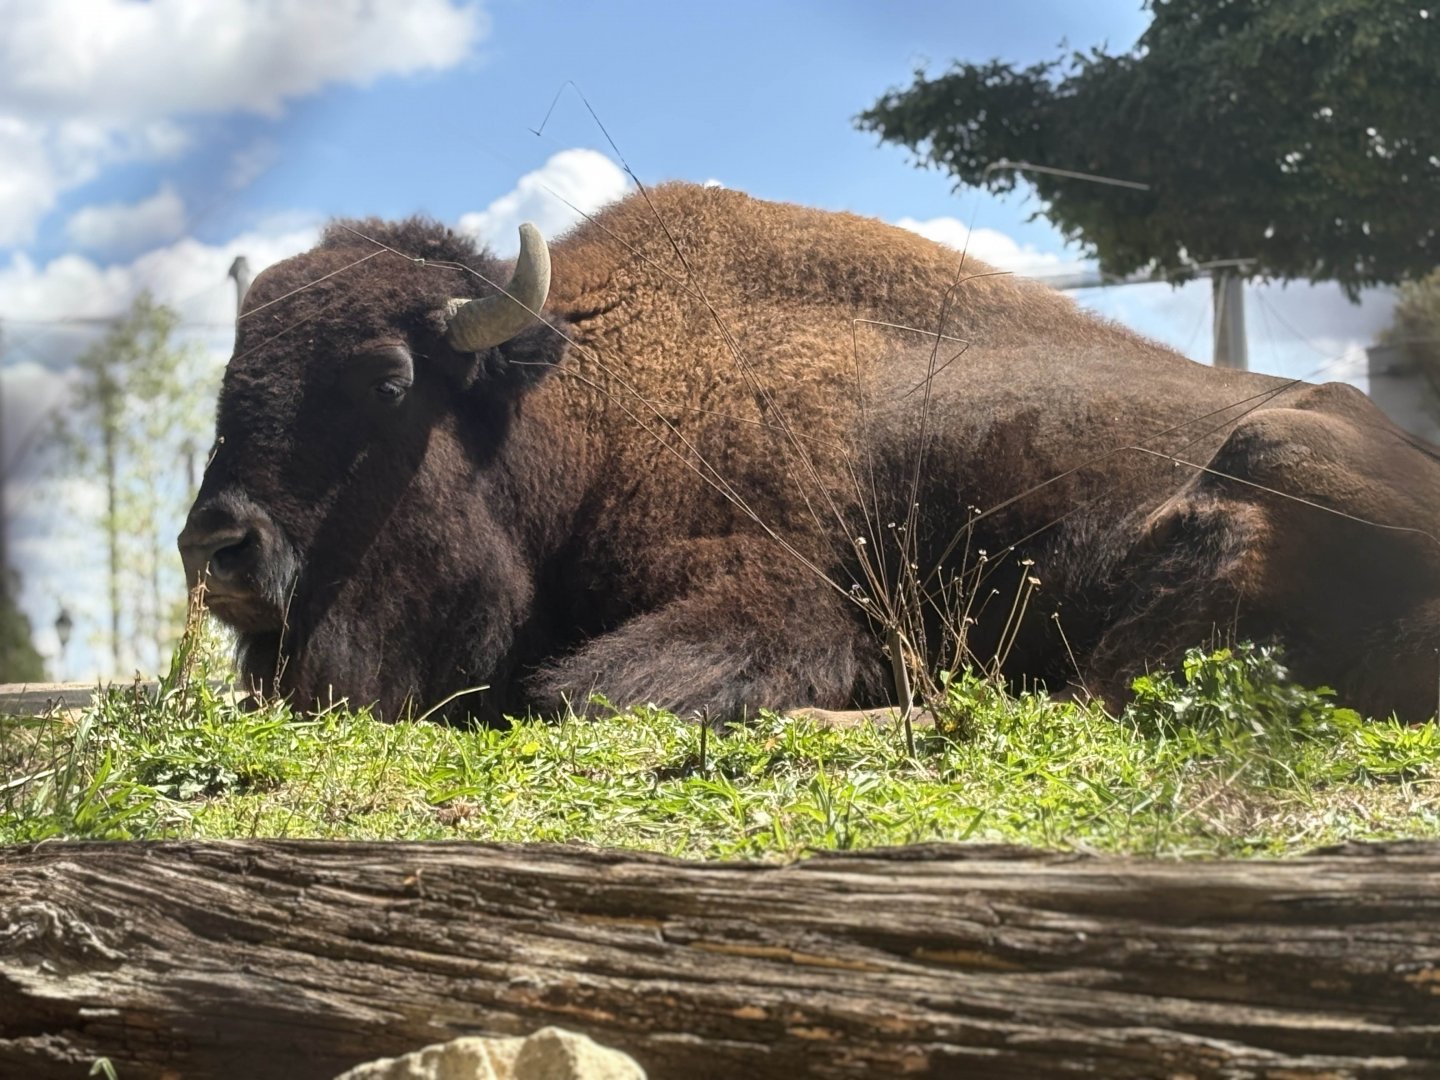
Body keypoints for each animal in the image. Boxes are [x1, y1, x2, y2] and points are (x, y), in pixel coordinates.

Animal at [179, 183, 1440, 724]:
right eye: (228, 386)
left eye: (388, 382)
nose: (215, 548)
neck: (584, 399)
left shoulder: (775, 595)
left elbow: (573, 692)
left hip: (1266, 451)